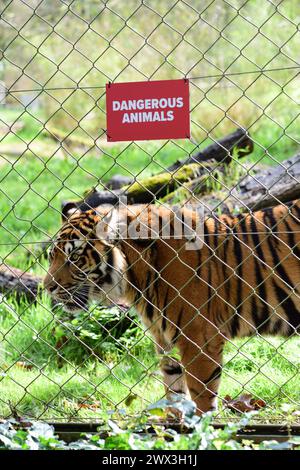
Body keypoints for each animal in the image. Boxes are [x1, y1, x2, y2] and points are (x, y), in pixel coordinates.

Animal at [44, 200, 300, 414]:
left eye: (74, 258)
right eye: (51, 255)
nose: (47, 287)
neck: (135, 278)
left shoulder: (199, 338)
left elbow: (202, 398)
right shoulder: (164, 340)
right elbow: (174, 394)